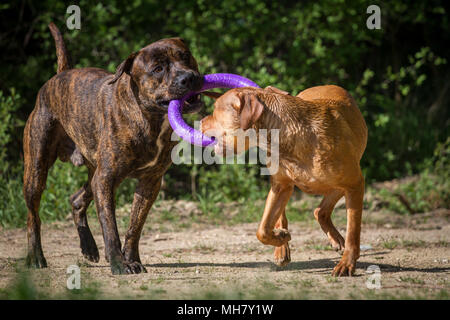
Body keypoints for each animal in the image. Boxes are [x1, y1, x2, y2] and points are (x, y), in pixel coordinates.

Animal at [22, 22, 202, 274]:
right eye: (157, 69)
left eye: (185, 56)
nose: (188, 77)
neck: (150, 118)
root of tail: (59, 76)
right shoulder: (106, 179)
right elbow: (110, 226)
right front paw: (119, 262)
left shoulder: (150, 182)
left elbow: (135, 225)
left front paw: (132, 258)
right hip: (37, 168)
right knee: (33, 216)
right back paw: (36, 257)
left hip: (93, 173)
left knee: (77, 200)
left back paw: (89, 247)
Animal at [202, 86, 368, 276]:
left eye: (215, 110)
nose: (200, 121)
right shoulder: (280, 186)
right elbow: (262, 230)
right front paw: (281, 237)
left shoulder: (354, 184)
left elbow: (353, 231)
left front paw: (347, 263)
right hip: (285, 189)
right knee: (304, 213)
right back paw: (282, 247)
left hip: (338, 185)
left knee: (321, 211)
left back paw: (336, 240)